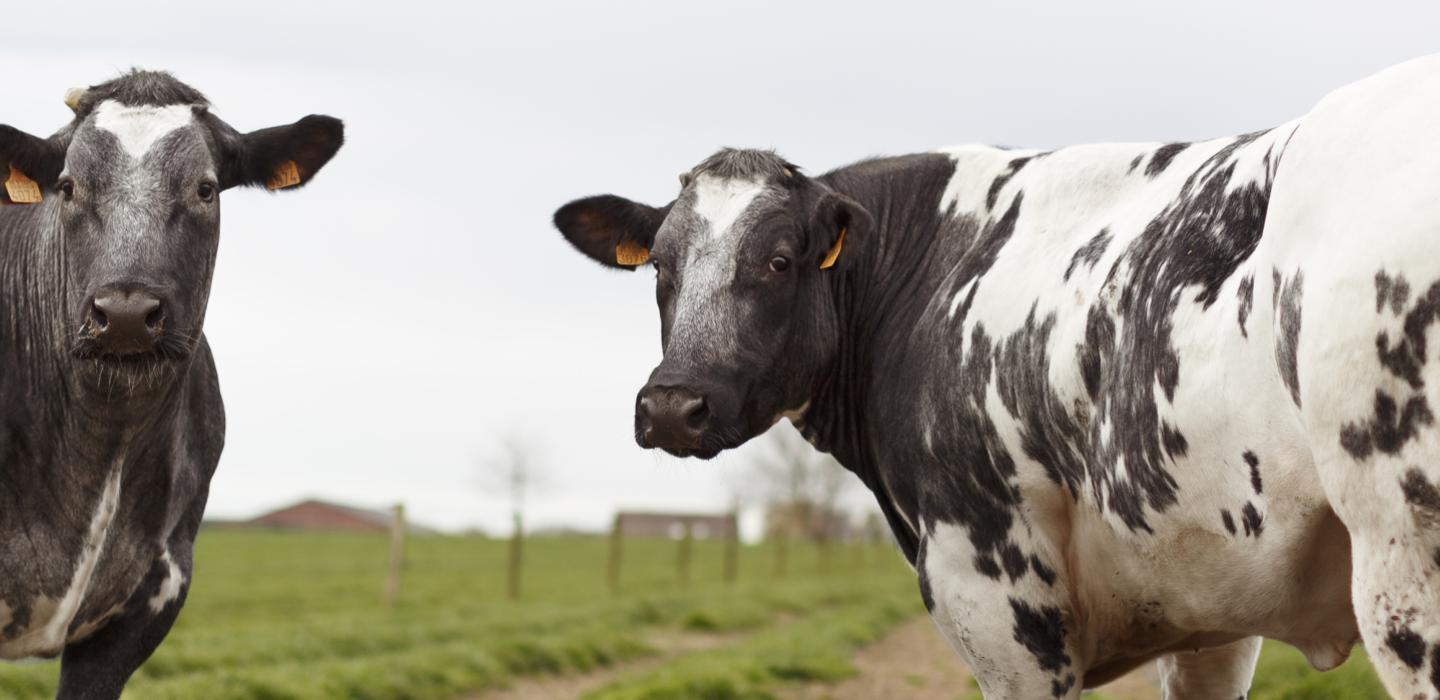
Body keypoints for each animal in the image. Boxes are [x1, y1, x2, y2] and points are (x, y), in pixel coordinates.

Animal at [552, 56, 1440, 700]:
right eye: (659, 266)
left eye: (777, 260)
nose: (674, 405)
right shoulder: (1211, 615)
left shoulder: (1000, 601)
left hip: (1403, 559)